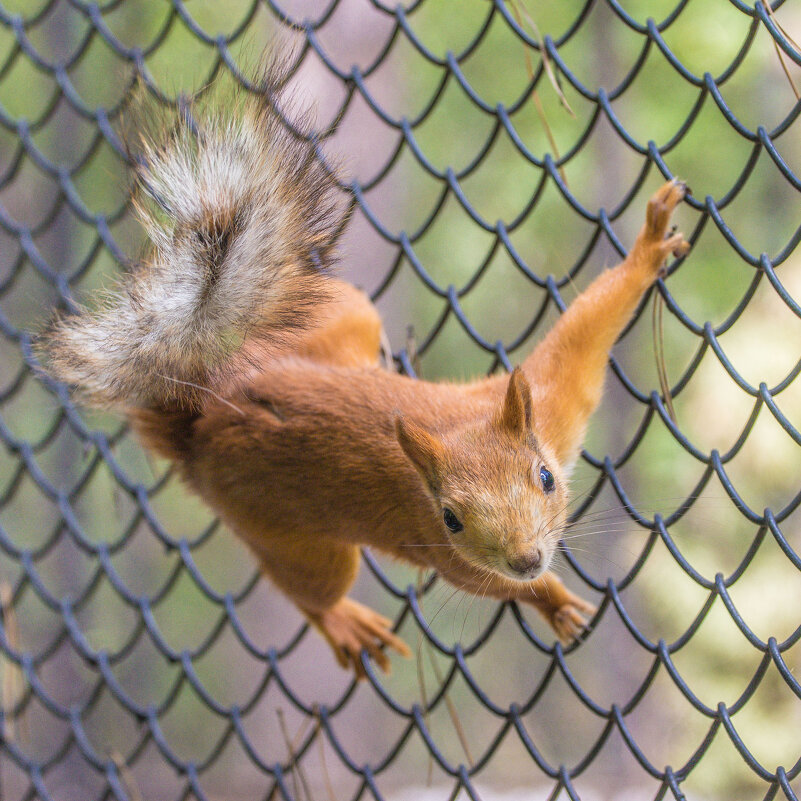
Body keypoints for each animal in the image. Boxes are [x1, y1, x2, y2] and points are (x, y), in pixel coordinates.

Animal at [36, 59, 688, 680]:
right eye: (451, 520)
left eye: (546, 478)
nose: (527, 558)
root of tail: (206, 413)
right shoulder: (448, 554)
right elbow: (491, 584)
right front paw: (552, 601)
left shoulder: (554, 399)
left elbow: (588, 326)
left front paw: (648, 248)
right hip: (280, 529)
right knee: (312, 591)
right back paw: (344, 625)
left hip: (341, 316)